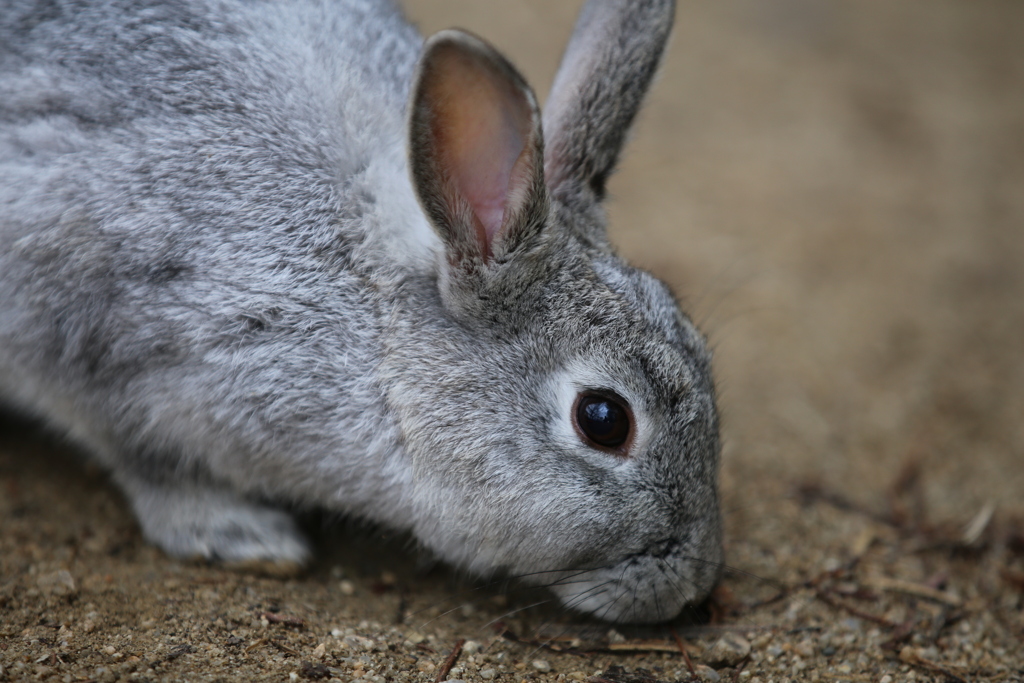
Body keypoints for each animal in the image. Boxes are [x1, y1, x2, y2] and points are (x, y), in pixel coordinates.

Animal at [0, 0, 724, 626]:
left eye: (695, 341)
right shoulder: (106, 339)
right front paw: (240, 535)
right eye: (604, 420)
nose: (695, 584)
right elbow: (146, 459)